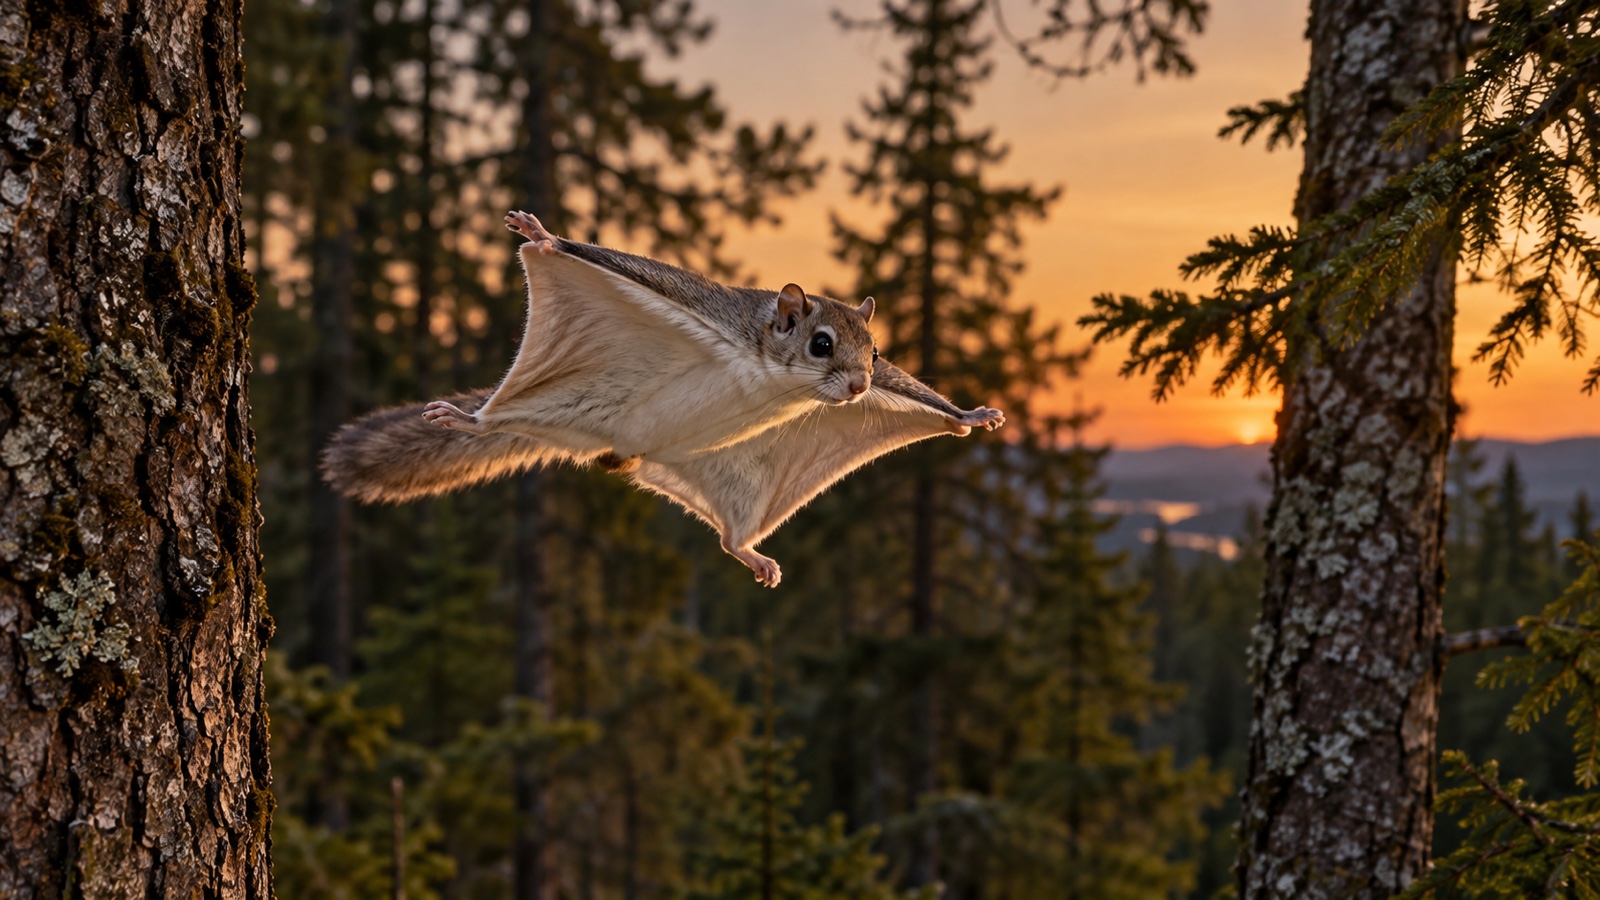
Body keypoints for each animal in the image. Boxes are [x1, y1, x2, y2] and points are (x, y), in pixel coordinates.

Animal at [322, 211, 1004, 586]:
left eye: (877, 352)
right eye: (821, 344)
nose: (862, 386)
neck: (770, 377)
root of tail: (616, 450)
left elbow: (936, 404)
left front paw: (971, 414)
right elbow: (601, 257)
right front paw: (546, 234)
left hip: (735, 480)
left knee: (729, 537)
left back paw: (751, 554)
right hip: (557, 401)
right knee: (493, 420)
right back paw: (466, 418)